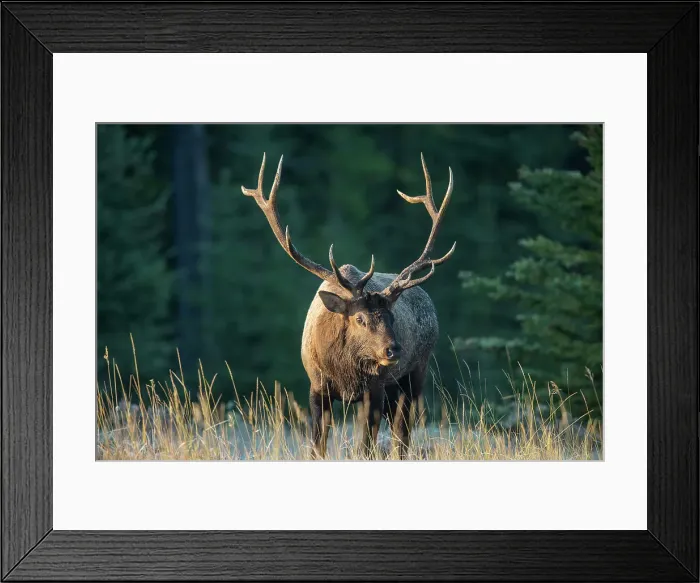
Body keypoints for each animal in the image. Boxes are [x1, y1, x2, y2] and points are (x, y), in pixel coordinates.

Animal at [241, 153, 455, 459]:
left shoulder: (374, 390)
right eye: (360, 319)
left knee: (402, 436)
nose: (393, 350)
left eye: (391, 317)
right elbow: (317, 447)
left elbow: (365, 447)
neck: (343, 370)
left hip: (414, 375)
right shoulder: (317, 387)